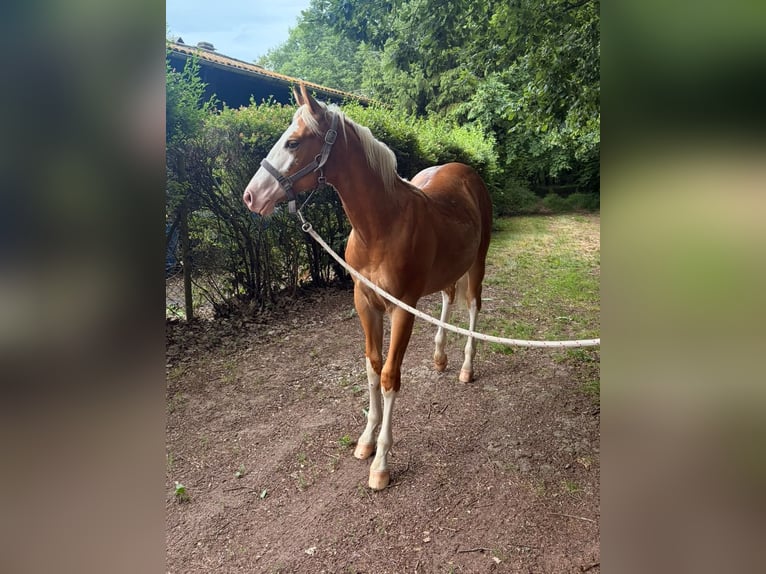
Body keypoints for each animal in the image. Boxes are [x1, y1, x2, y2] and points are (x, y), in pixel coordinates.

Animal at [243, 84, 492, 490]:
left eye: (293, 142)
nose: (251, 196)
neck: (381, 227)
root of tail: (465, 171)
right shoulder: (366, 303)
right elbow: (373, 367)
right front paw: (365, 441)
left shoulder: (402, 308)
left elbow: (390, 375)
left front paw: (381, 463)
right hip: (448, 271)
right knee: (448, 298)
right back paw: (440, 357)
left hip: (477, 262)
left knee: (472, 306)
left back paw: (466, 368)